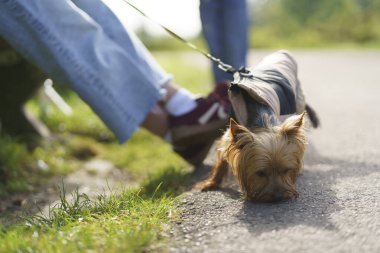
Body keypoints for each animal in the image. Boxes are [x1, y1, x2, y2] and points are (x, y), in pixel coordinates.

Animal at [194, 50, 320, 203]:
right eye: (260, 173)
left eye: (286, 170)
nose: (278, 197)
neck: (263, 121)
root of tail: (281, 52)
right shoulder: (229, 136)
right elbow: (221, 161)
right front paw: (210, 183)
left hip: (297, 100)